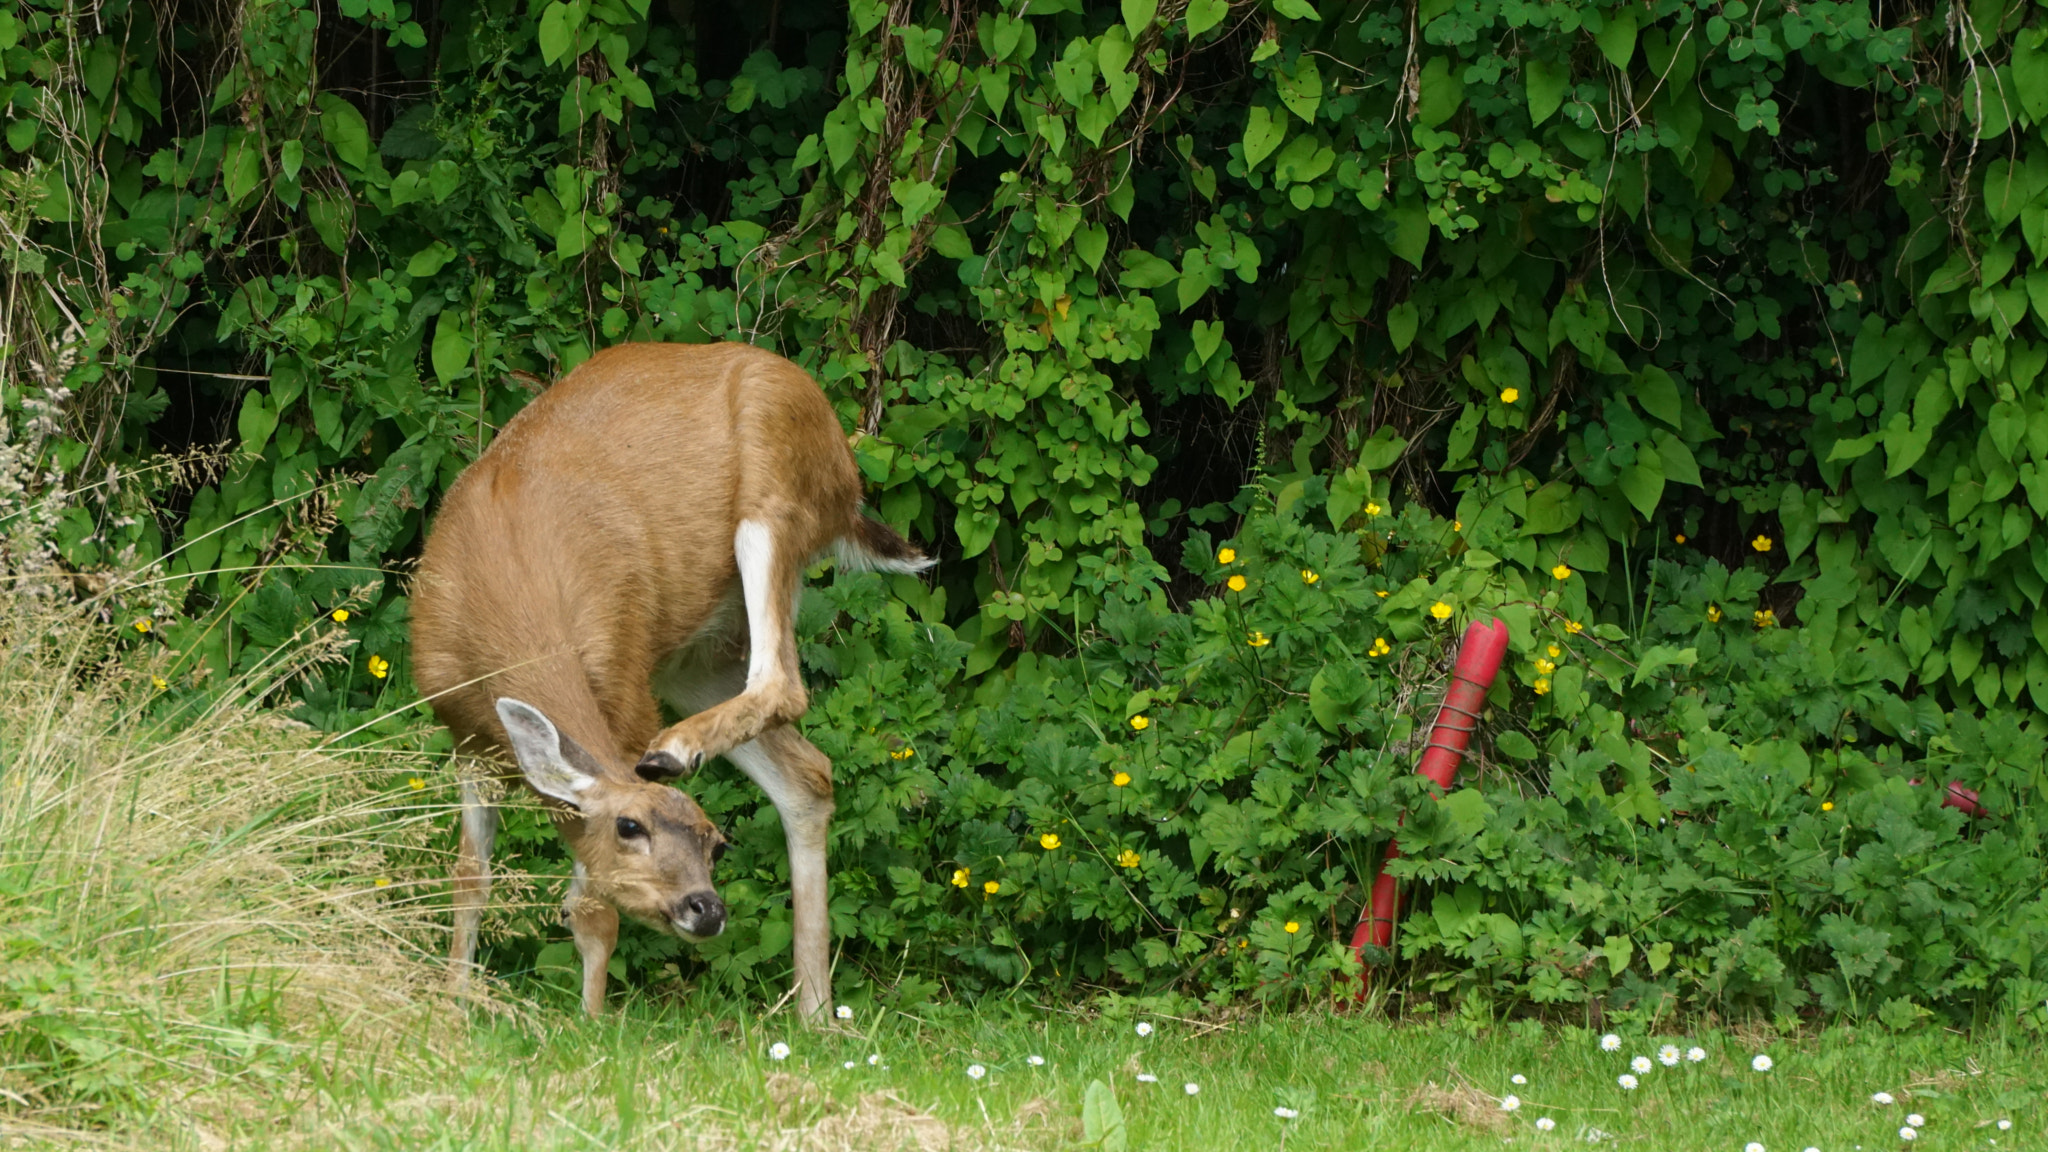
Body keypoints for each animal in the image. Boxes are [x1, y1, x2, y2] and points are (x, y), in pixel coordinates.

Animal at [411, 338, 933, 1012]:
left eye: (717, 844)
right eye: (630, 827)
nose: (706, 907)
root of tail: (848, 470)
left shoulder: (625, 687)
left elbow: (592, 909)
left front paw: (588, 1020)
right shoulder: (465, 732)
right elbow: (470, 878)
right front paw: (452, 1005)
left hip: (774, 505)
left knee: (783, 684)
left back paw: (676, 751)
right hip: (695, 660)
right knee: (809, 774)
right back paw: (815, 1011)